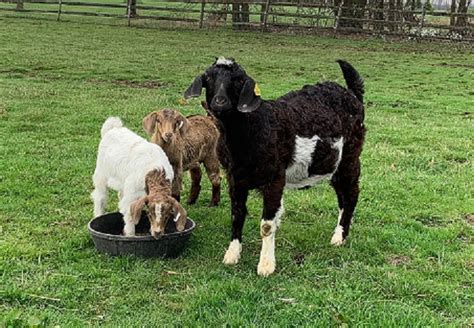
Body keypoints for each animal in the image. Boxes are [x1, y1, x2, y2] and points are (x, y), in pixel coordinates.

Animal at [183, 57, 364, 276]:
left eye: (239, 80)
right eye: (208, 78)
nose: (220, 102)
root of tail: (352, 93)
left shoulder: (274, 178)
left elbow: (267, 225)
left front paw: (266, 265)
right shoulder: (235, 178)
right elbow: (237, 215)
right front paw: (232, 255)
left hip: (350, 156)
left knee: (351, 193)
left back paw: (339, 237)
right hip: (334, 163)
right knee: (342, 196)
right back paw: (340, 231)